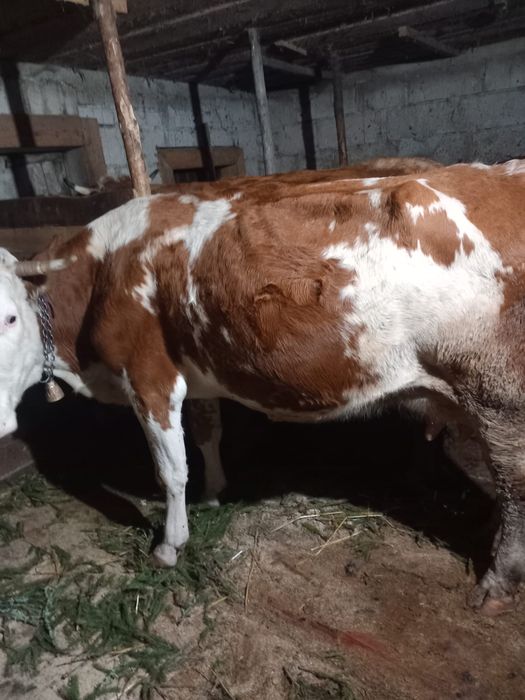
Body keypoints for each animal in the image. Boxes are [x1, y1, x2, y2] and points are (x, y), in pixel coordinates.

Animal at [1, 158, 523, 616]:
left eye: (9, 317)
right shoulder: (194, 372)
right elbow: (206, 433)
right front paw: (213, 491)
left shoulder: (148, 376)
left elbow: (170, 471)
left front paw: (170, 545)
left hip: (499, 396)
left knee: (515, 486)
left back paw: (497, 585)